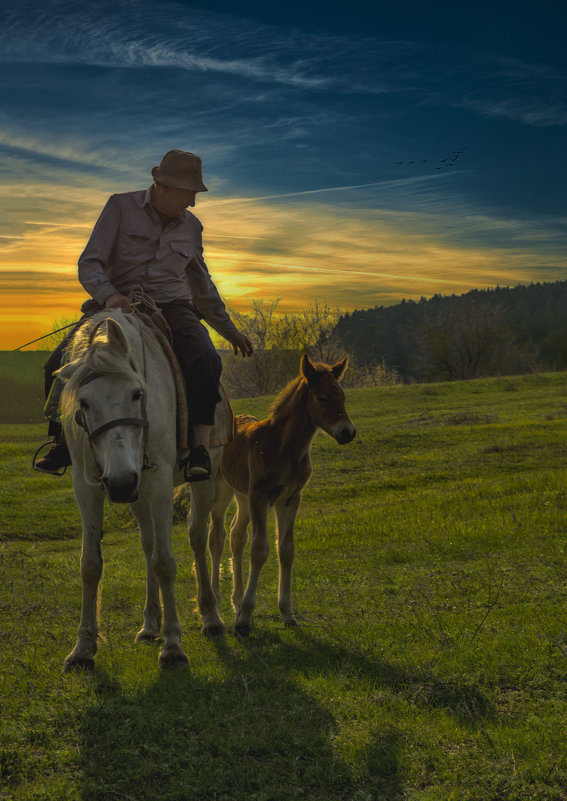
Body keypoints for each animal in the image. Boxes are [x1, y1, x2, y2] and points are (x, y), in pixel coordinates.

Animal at [58, 312, 226, 668]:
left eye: (137, 394)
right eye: (84, 403)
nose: (122, 481)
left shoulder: (159, 481)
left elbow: (165, 561)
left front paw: (173, 645)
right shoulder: (87, 485)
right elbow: (90, 564)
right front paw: (83, 647)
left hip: (202, 480)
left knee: (197, 536)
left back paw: (211, 616)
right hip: (138, 495)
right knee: (148, 544)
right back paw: (150, 625)